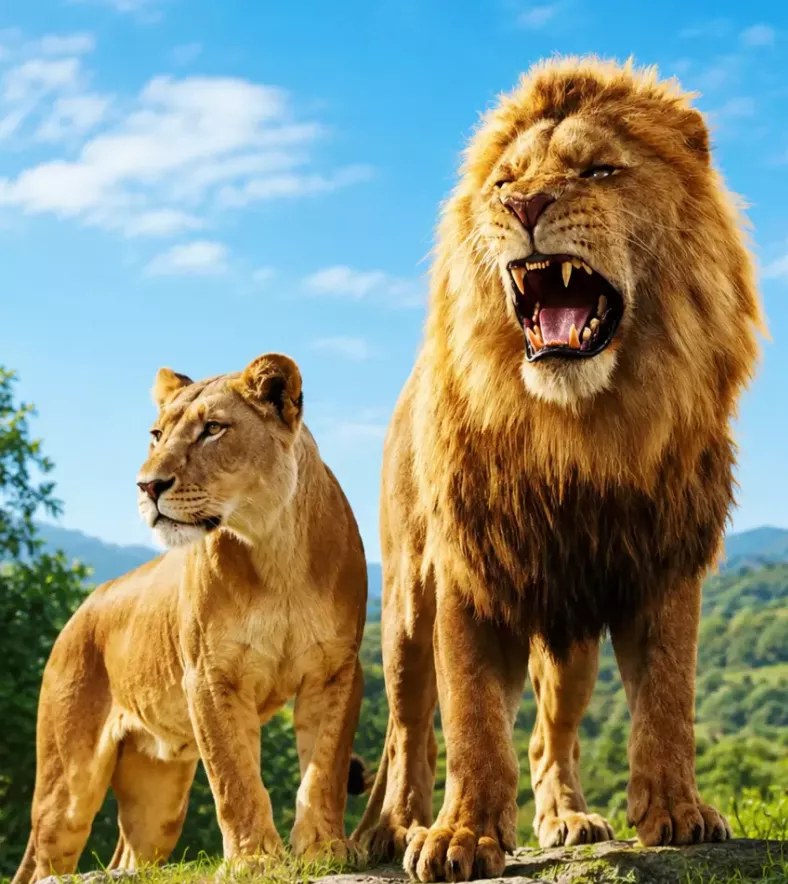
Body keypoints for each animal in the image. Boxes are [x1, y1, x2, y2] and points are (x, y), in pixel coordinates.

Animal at [13, 353, 368, 884]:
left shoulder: (335, 670)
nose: (147, 485)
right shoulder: (210, 676)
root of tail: (81, 610)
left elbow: (324, 766)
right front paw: (254, 860)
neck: (273, 547)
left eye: (213, 430)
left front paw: (324, 848)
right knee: (45, 860)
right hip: (67, 784)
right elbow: (234, 776)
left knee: (130, 856)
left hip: (156, 799)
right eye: (157, 434)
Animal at [352, 57, 764, 882]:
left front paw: (677, 811)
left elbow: (669, 697)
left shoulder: (665, 559)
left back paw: (567, 819)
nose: (525, 204)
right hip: (406, 608)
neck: (577, 433)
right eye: (505, 180)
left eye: (598, 170)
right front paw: (459, 836)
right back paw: (394, 827)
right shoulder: (468, 569)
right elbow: (471, 716)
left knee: (550, 734)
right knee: (408, 729)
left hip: (570, 637)